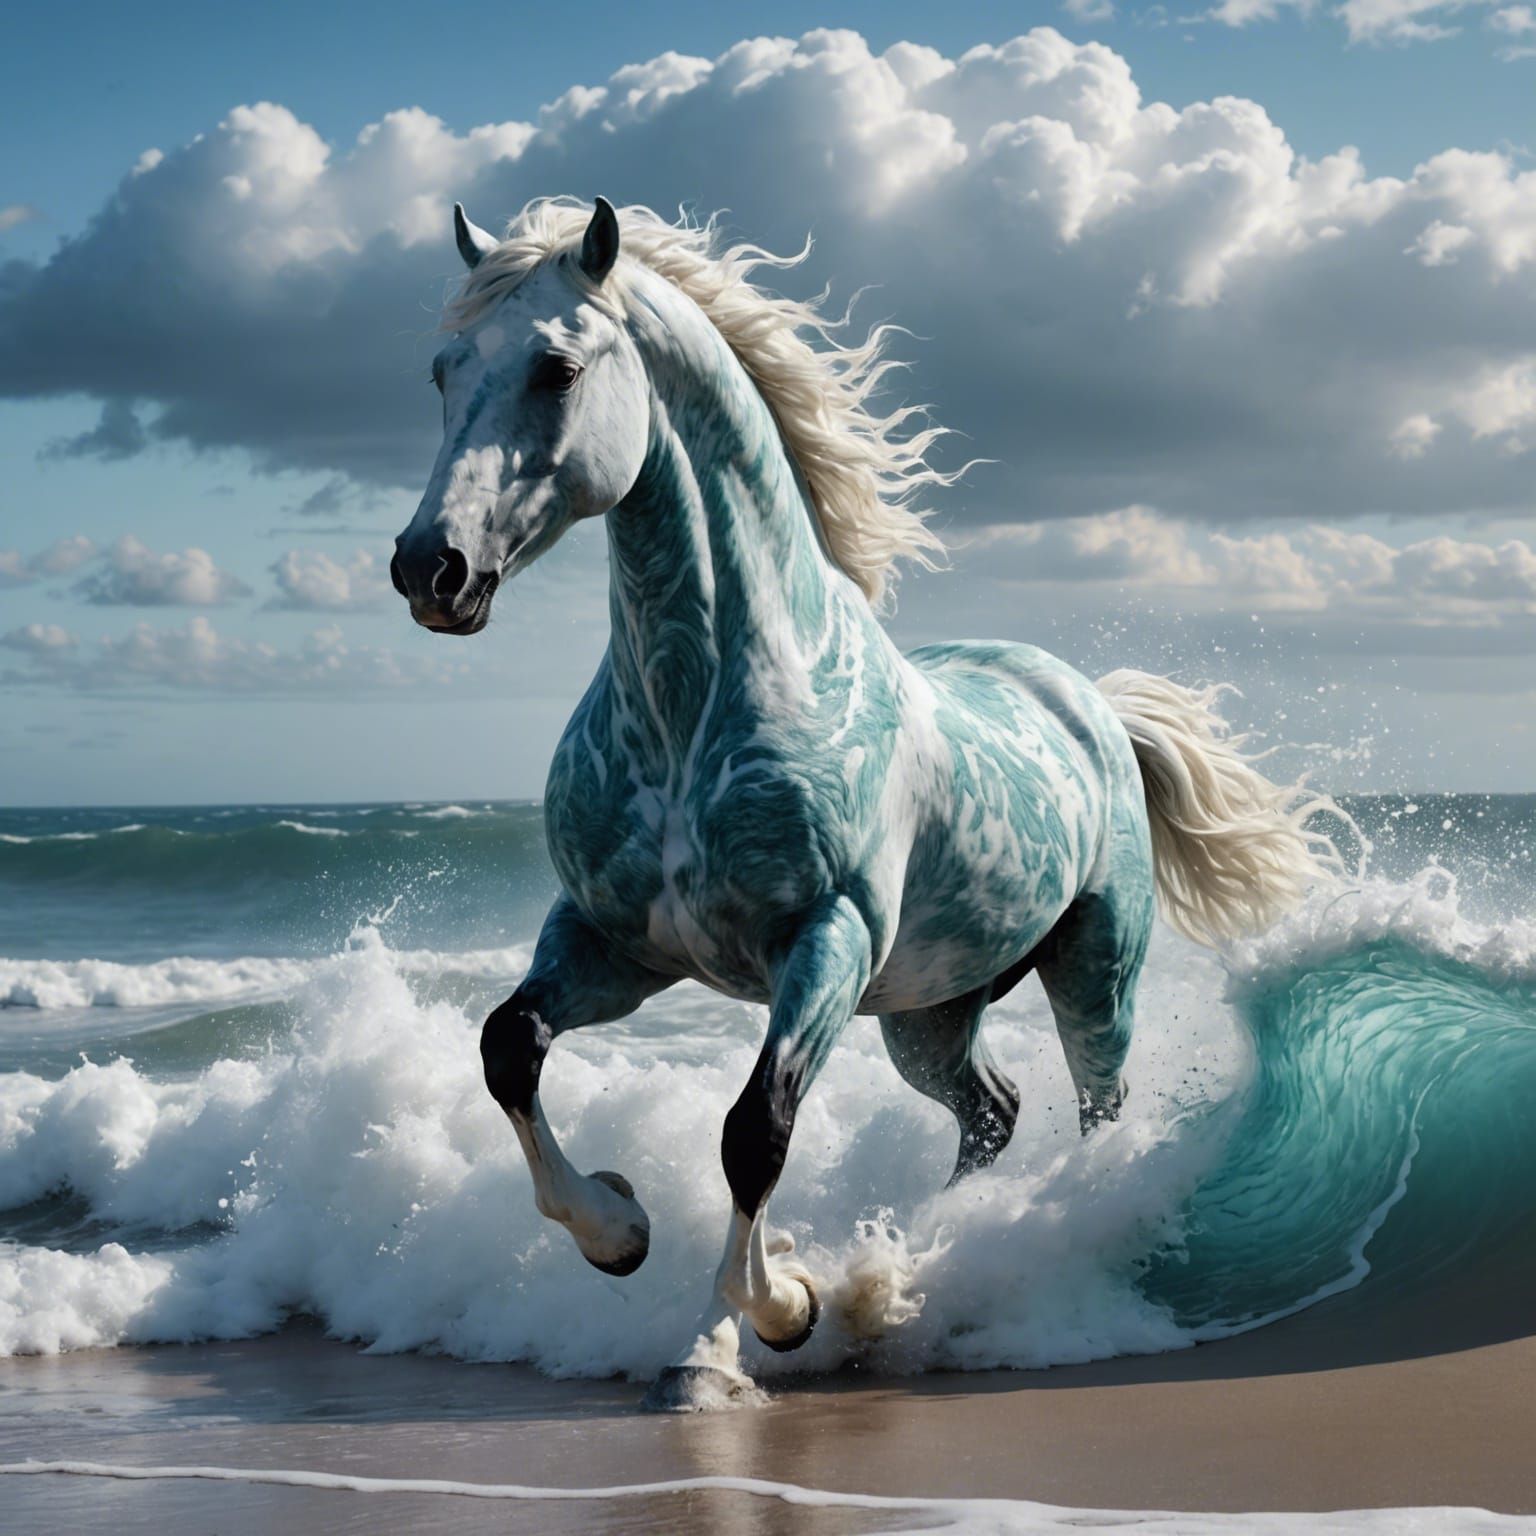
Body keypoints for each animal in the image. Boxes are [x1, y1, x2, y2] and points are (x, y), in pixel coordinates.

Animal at [390, 196, 1341, 1410]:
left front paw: (754, 1327)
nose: (431, 569)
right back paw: (914, 1260)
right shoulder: (614, 943)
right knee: (992, 1112)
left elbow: (754, 1131)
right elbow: (507, 1045)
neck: (700, 704)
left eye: (556, 369)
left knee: (1098, 1115)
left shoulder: (825, 938)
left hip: (1093, 970)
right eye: (442, 370)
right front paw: (619, 1230)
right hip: (928, 1013)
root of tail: (1092, 702)